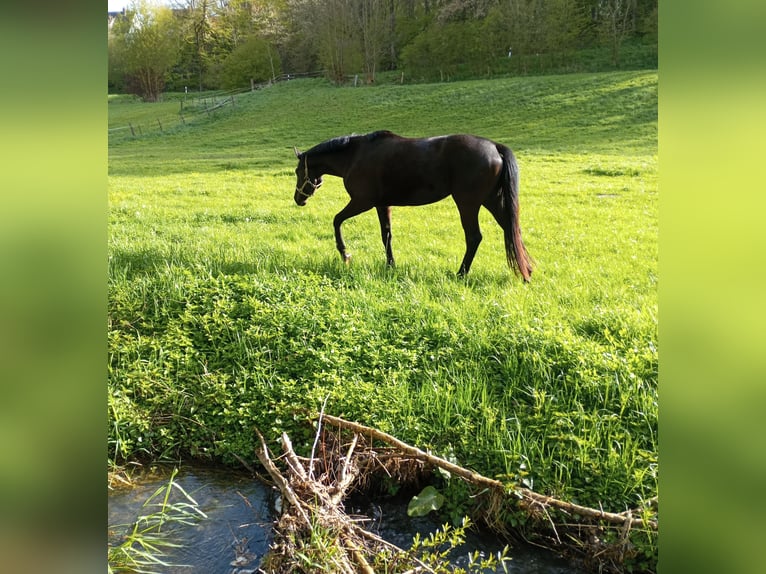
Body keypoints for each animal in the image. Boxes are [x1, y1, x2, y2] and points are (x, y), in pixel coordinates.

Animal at [294, 131, 536, 284]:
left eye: (297, 171)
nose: (298, 199)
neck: (355, 155)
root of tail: (494, 147)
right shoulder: (382, 204)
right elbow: (386, 235)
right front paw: (390, 265)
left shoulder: (362, 202)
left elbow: (337, 220)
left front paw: (345, 254)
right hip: (492, 201)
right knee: (512, 230)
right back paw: (526, 271)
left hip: (468, 204)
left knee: (474, 237)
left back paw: (461, 274)